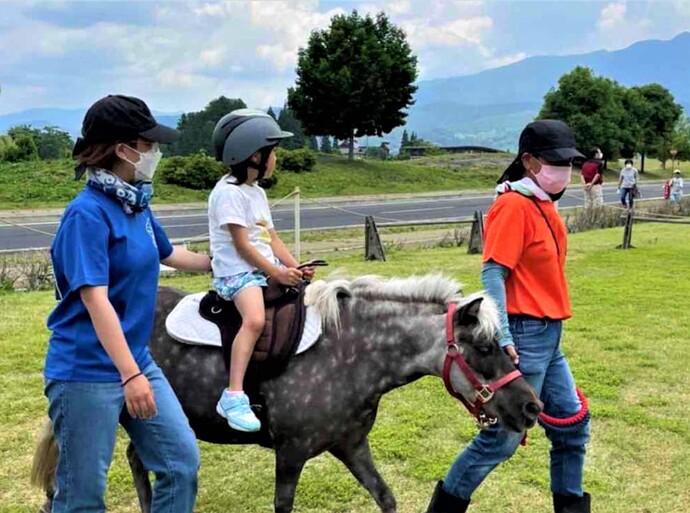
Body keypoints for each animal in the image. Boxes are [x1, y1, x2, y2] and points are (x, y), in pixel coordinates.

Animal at [30, 274, 536, 512]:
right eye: (484, 347)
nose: (532, 406)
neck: (351, 352)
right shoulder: (290, 454)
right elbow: (283, 504)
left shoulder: (352, 446)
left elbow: (386, 497)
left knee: (137, 459)